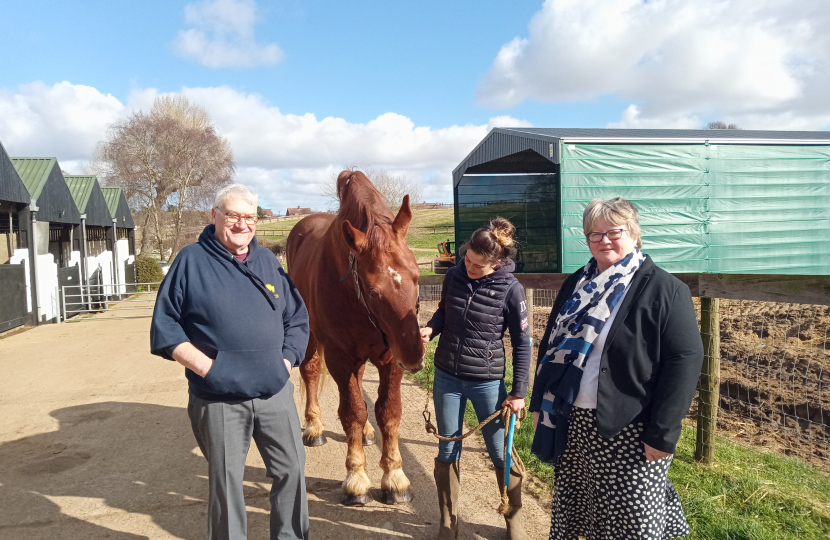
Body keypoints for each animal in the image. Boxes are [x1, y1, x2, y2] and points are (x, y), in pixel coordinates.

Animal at [288, 171, 428, 504]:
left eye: (417, 277)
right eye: (374, 291)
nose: (414, 356)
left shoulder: (390, 360)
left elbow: (388, 412)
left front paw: (395, 477)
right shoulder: (340, 359)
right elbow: (352, 412)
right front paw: (356, 478)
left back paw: (365, 433)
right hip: (312, 340)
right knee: (310, 371)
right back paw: (314, 427)